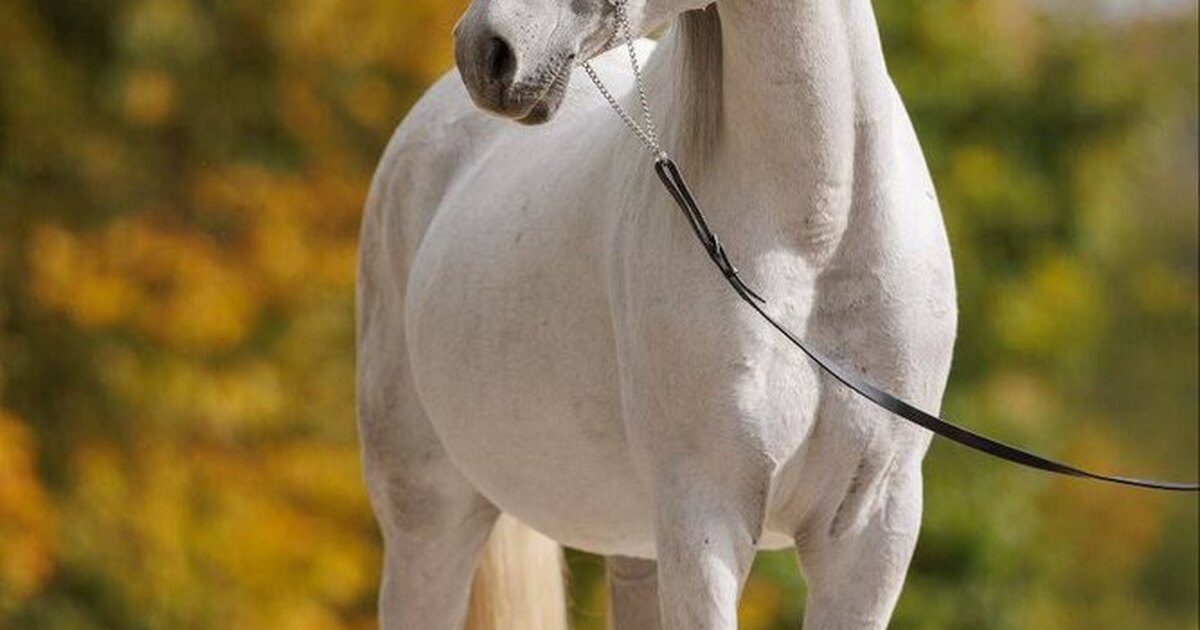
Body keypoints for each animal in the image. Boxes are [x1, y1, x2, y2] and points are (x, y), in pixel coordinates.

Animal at [356, 0, 958, 627]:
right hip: (429, 519)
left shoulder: (870, 532)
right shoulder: (704, 514)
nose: (485, 52)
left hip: (637, 548)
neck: (816, 238)